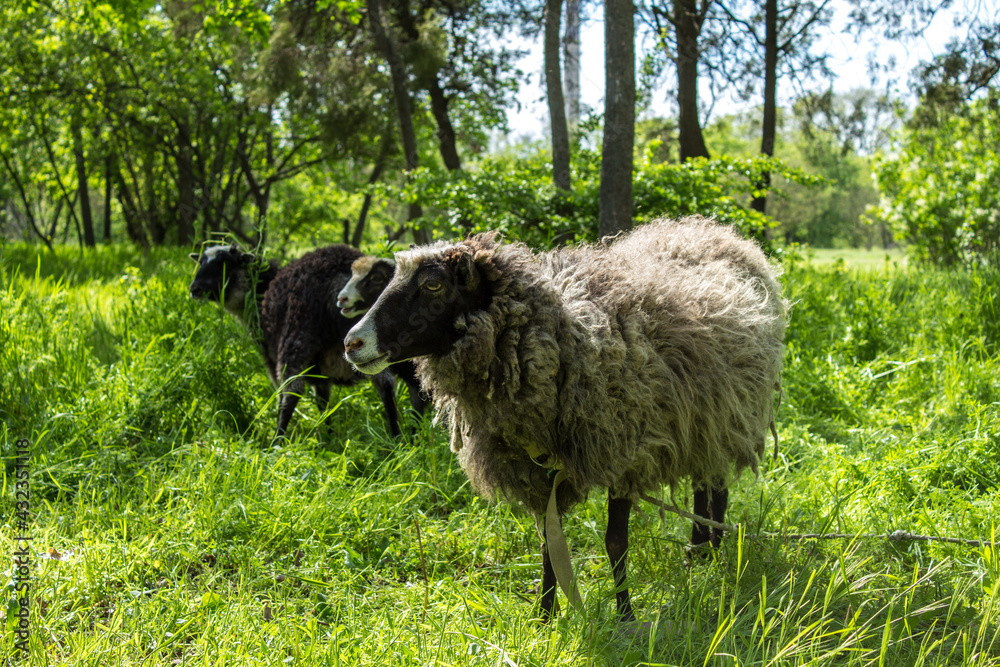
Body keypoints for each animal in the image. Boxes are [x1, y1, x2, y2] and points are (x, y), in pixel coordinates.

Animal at [188, 243, 406, 438]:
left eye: (224, 263)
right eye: (201, 261)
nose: (194, 289)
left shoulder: (271, 358)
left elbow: (280, 394)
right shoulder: (323, 371)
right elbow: (323, 401)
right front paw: (327, 435)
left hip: (296, 336)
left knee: (291, 391)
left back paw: (277, 441)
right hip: (371, 339)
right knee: (386, 385)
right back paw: (396, 439)